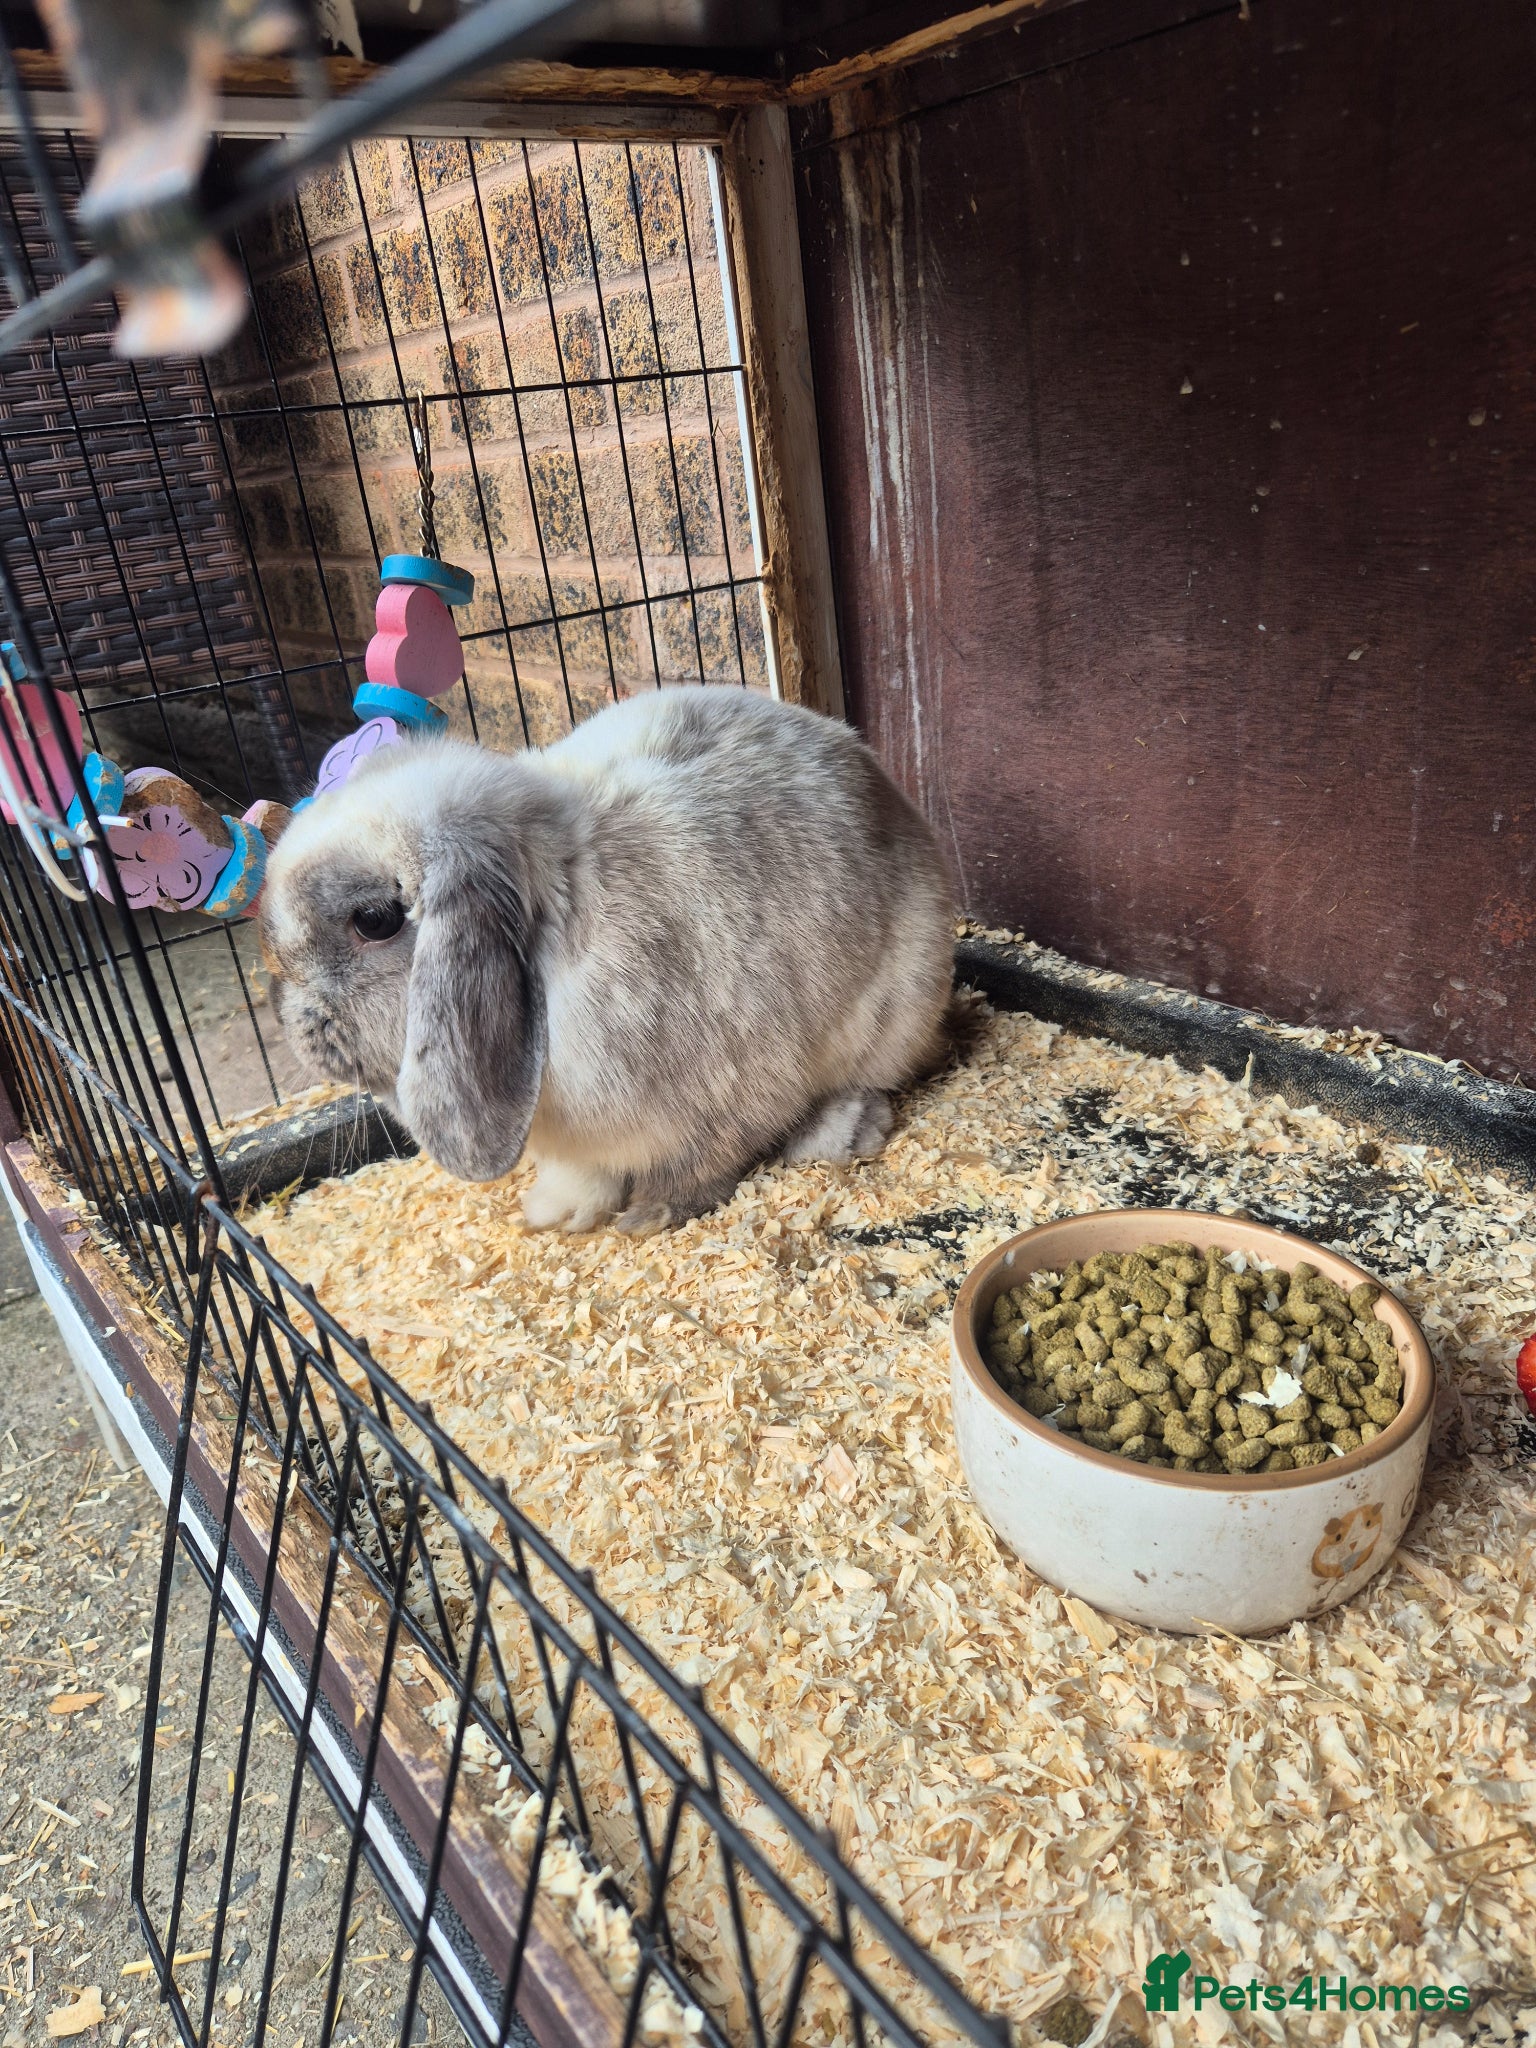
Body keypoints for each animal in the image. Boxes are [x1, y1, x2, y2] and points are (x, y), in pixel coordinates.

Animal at [259, 686, 955, 1234]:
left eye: (373, 920)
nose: (280, 1011)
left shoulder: (740, 1093)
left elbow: (703, 1164)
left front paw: (646, 1218)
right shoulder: (582, 1145)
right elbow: (584, 1177)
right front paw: (558, 1215)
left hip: (897, 1016)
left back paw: (843, 1127)